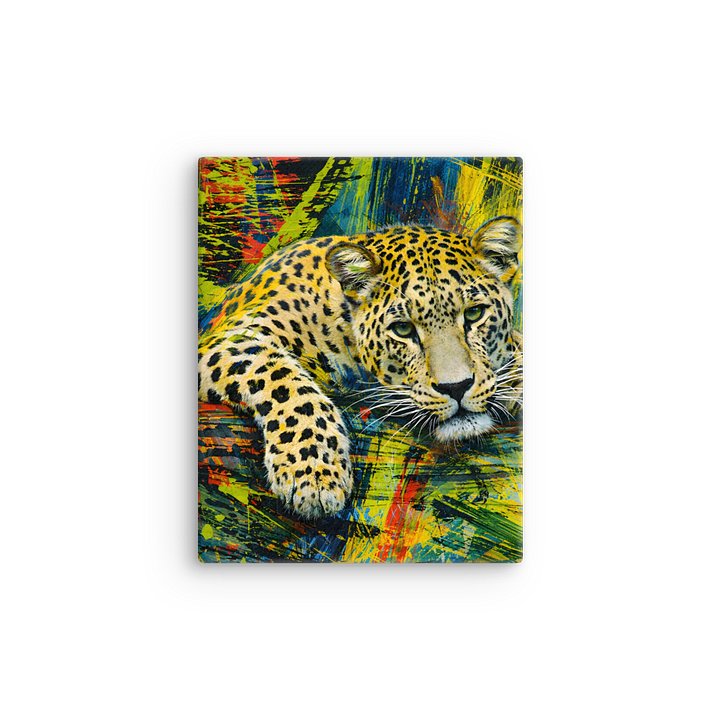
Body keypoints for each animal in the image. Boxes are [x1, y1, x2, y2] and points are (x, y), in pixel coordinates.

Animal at [198, 217, 523, 519]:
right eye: (403, 329)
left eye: (475, 313)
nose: (456, 387)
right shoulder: (229, 338)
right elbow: (285, 380)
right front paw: (313, 471)